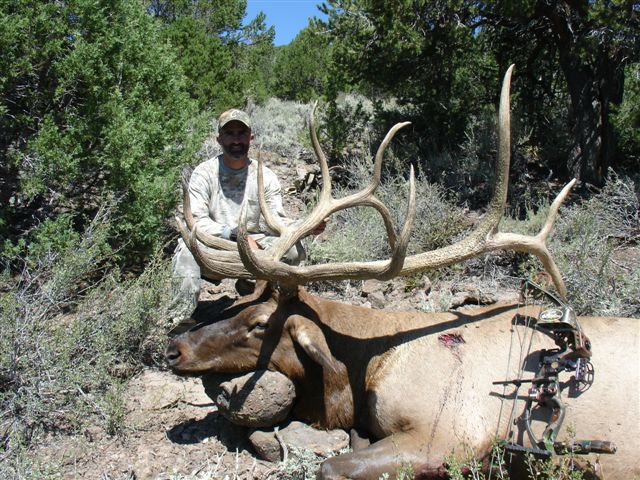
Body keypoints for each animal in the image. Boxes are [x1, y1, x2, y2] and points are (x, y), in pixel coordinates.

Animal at [168, 67, 636, 480]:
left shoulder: (450, 433)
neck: (371, 365)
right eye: (241, 300)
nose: (175, 349)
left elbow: (329, 465)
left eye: (261, 324)